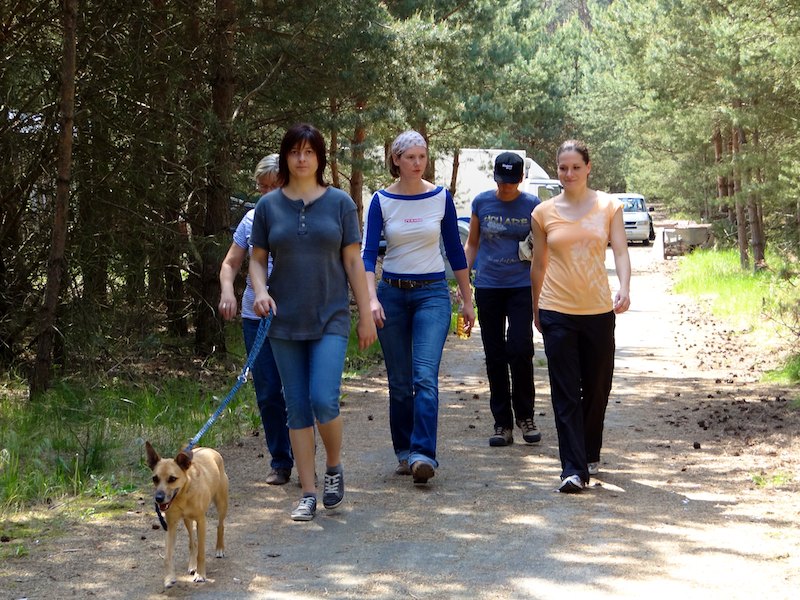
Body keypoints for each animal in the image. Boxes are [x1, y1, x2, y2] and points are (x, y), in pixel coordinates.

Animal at [145, 441, 229, 589]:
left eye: (172, 479)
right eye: (155, 478)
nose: (158, 498)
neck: (182, 496)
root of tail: (208, 449)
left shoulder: (201, 521)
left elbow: (201, 552)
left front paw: (200, 575)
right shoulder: (171, 526)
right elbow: (167, 556)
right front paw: (169, 578)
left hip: (221, 503)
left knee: (220, 526)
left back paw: (219, 548)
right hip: (187, 520)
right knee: (192, 542)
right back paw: (192, 565)